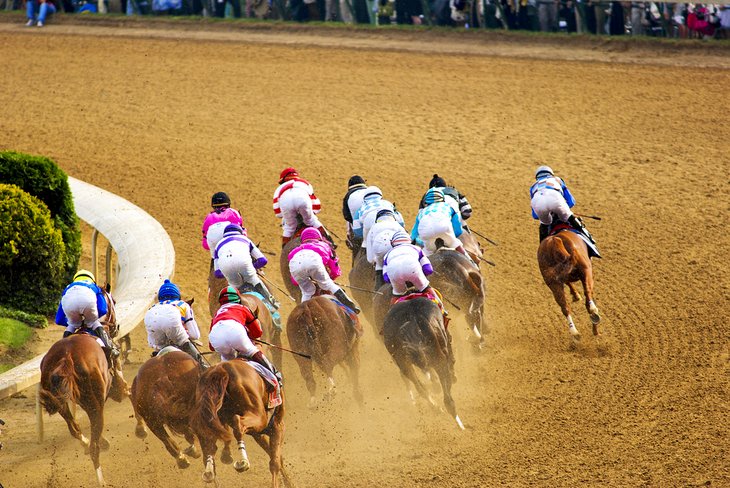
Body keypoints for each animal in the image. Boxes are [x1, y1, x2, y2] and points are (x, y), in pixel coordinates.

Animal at [38, 286, 128, 484]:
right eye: (113, 302)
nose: (116, 327)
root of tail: (67, 356)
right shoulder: (110, 388)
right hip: (94, 402)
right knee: (94, 446)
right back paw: (102, 481)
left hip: (61, 401)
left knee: (75, 428)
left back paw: (88, 443)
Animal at [189, 358, 292, 488]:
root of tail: (221, 369)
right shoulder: (277, 426)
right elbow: (275, 461)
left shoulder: (258, 433)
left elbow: (274, 456)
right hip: (259, 416)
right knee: (237, 422)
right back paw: (243, 462)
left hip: (209, 417)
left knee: (208, 441)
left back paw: (210, 471)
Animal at [382, 300, 460, 428]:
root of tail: (412, 318)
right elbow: (451, 359)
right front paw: (453, 376)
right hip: (439, 356)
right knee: (448, 397)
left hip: (402, 362)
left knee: (420, 388)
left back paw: (436, 408)